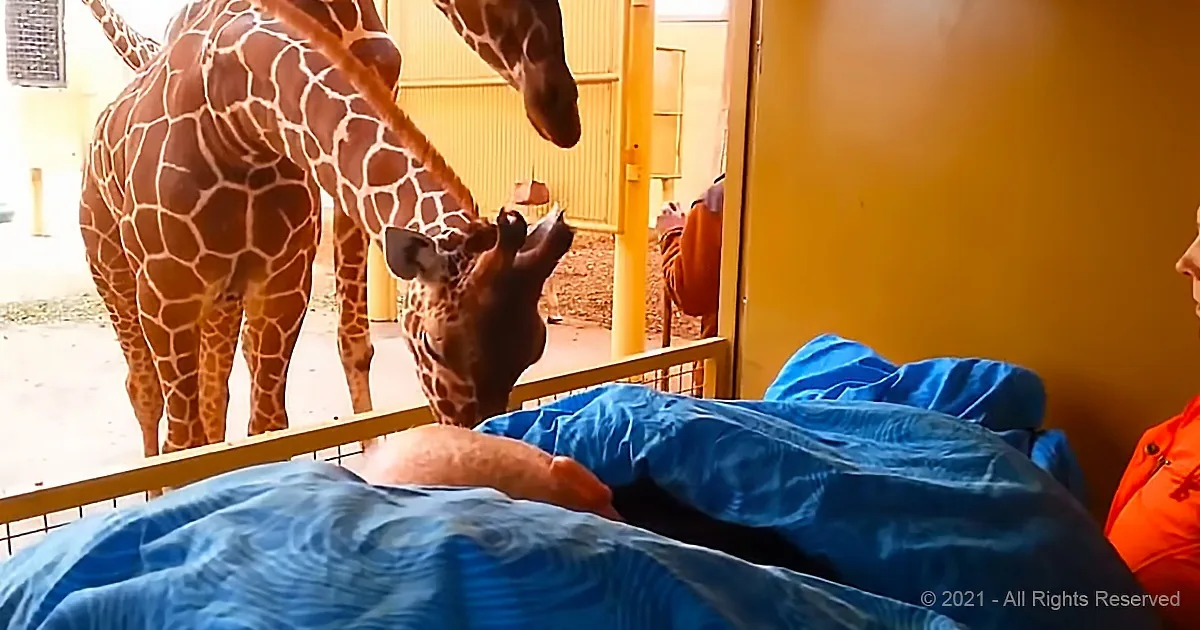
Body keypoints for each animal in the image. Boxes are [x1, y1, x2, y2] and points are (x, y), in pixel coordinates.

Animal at [79, 0, 576, 465]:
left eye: (533, 351)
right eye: (433, 347)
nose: (561, 114)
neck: (234, 116)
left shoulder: (282, 285)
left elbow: (267, 427)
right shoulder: (168, 294)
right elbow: (182, 445)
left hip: (222, 297)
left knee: (214, 391)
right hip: (113, 270)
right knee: (144, 392)